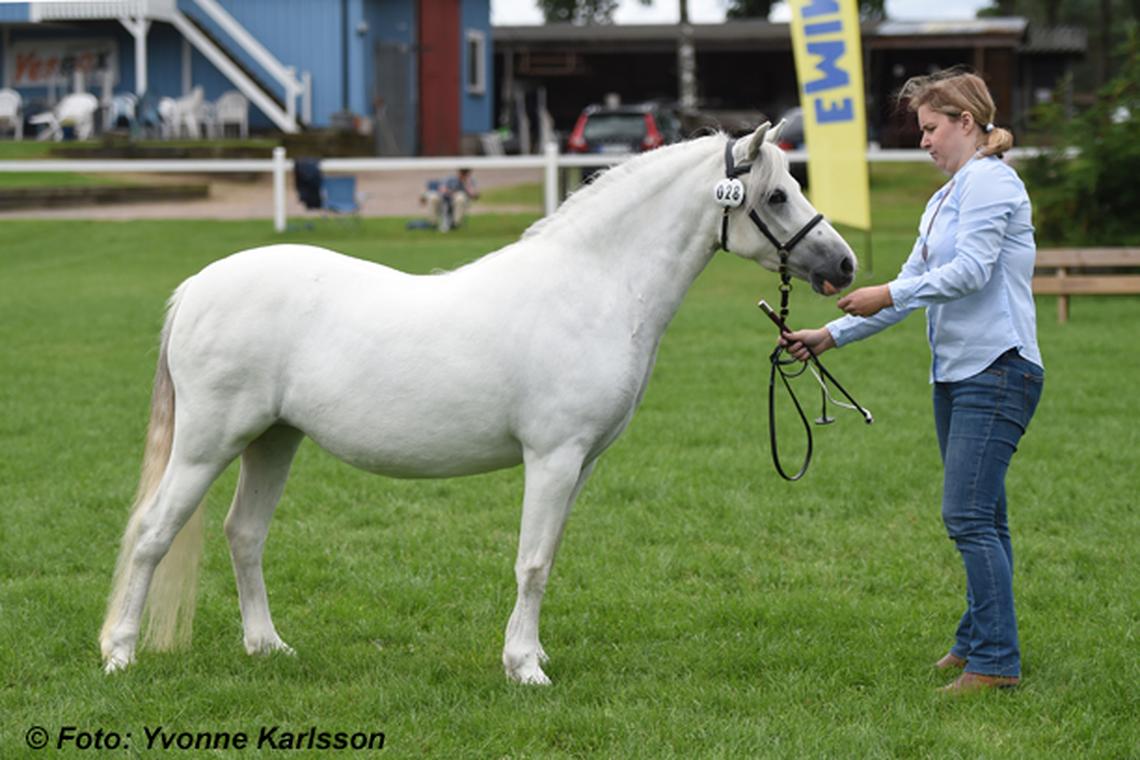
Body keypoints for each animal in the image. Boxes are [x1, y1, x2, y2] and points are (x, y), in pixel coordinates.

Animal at [104, 123, 857, 683]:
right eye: (778, 195)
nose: (844, 265)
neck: (593, 287)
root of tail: (198, 285)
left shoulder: (582, 463)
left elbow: (547, 557)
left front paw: (533, 652)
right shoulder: (553, 457)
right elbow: (531, 561)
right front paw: (525, 667)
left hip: (274, 440)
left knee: (244, 534)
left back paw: (268, 647)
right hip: (207, 444)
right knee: (153, 532)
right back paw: (119, 654)